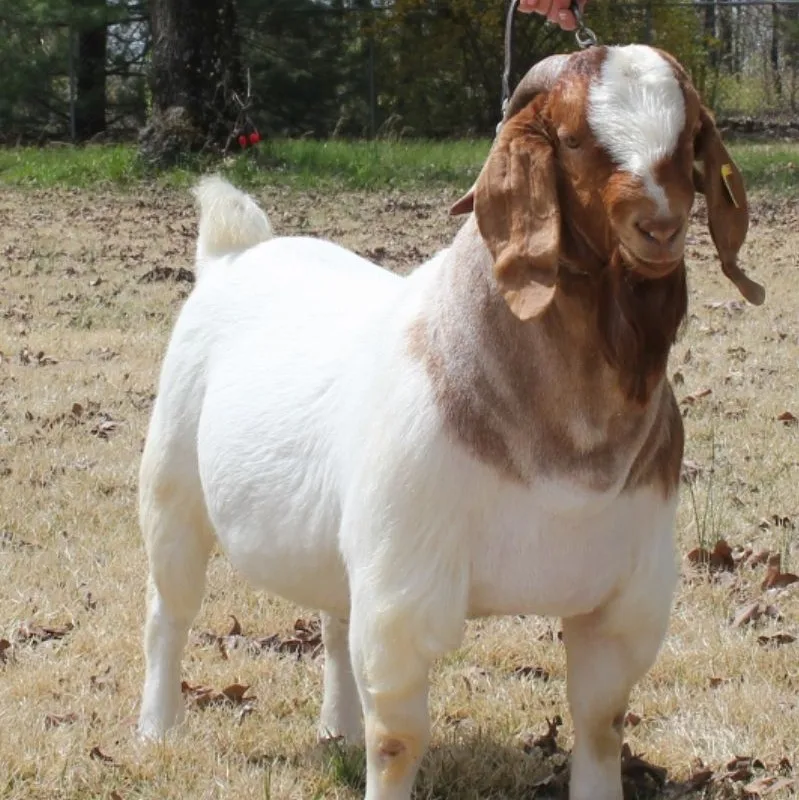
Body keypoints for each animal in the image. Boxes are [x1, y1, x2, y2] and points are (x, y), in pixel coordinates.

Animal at [137, 44, 764, 800]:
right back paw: (158, 729)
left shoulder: (626, 596)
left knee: (331, 621)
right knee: (169, 611)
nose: (660, 227)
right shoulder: (404, 592)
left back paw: (336, 728)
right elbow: (398, 742)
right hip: (172, 491)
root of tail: (233, 254)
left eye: (688, 137)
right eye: (573, 138)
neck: (564, 457)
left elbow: (600, 721)